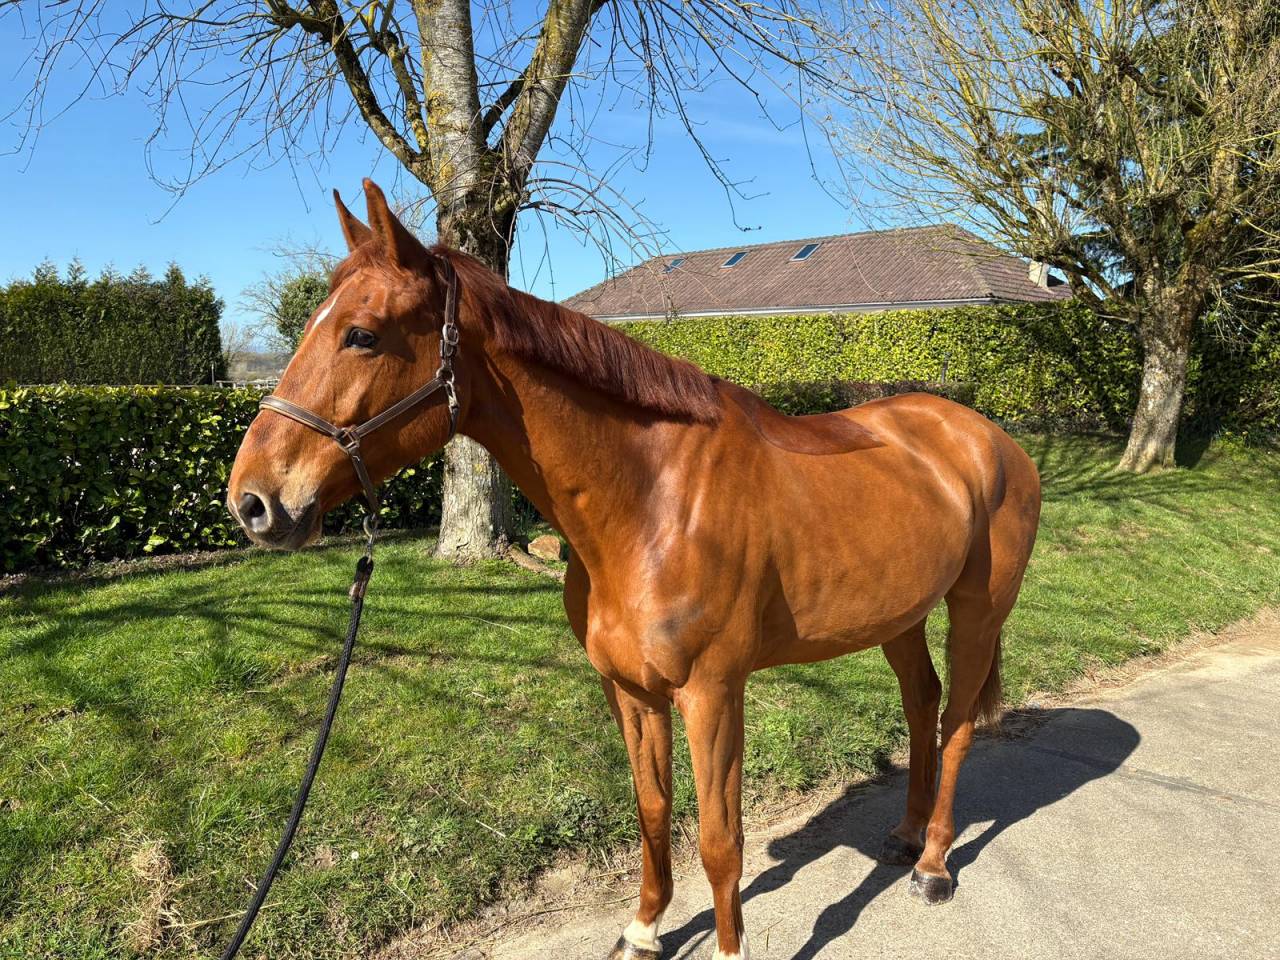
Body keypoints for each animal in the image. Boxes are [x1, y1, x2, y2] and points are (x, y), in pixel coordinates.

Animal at [228, 180, 1041, 960]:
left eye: (362, 335)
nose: (253, 501)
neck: (652, 504)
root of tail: (987, 438)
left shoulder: (712, 694)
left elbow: (720, 838)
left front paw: (728, 949)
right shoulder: (630, 690)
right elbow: (652, 812)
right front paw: (644, 929)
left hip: (977, 612)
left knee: (958, 721)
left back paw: (933, 866)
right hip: (898, 615)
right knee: (922, 704)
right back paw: (905, 838)